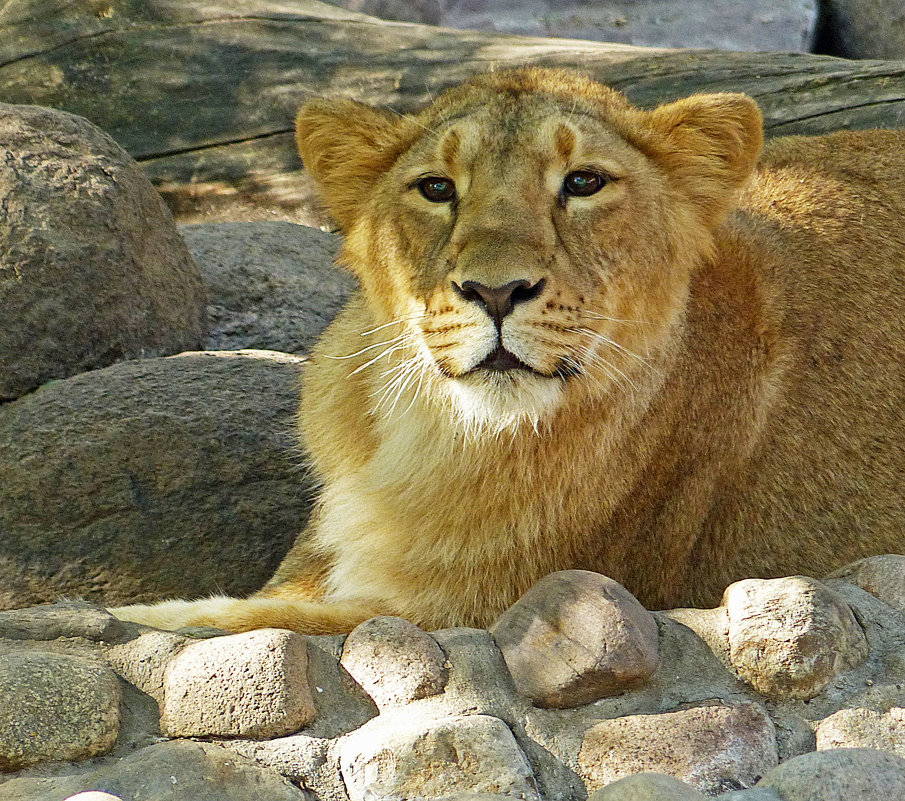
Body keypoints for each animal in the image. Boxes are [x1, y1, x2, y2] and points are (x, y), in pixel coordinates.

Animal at [113, 67, 904, 632]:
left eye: (583, 181)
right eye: (436, 188)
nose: (495, 292)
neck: (435, 434)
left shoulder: (499, 602)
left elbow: (237, 619)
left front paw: (123, 615)